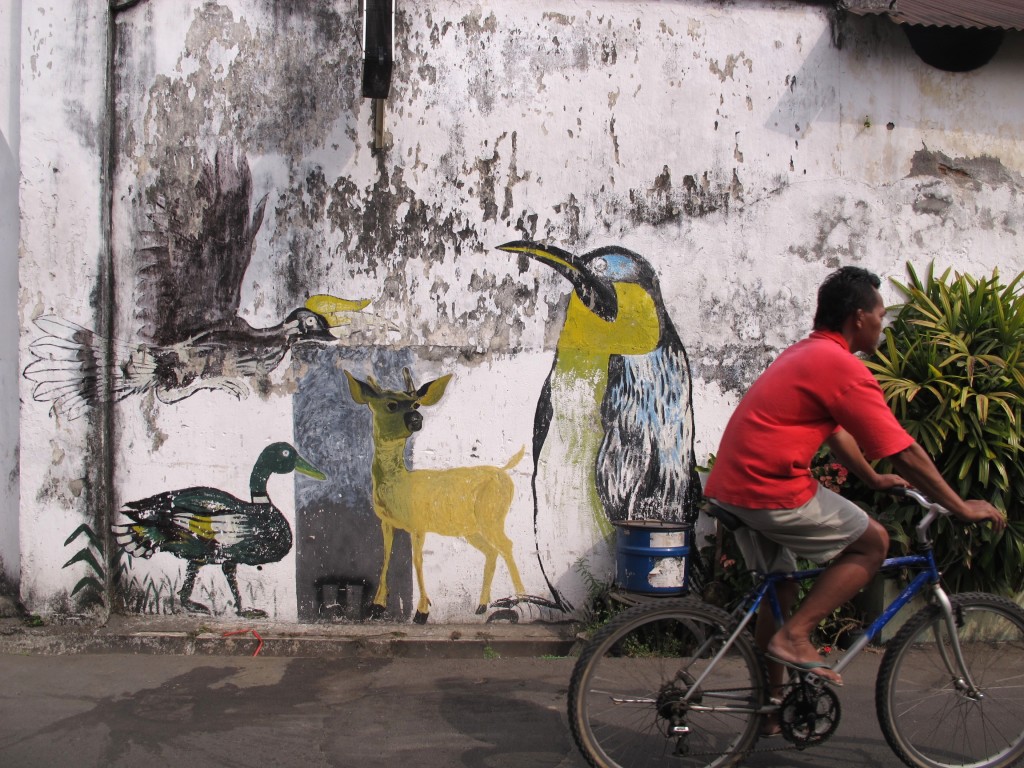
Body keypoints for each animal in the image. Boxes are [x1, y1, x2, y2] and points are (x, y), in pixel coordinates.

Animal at [348, 368, 528, 626]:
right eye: (391, 404)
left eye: (416, 403)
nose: (416, 419)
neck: (398, 484)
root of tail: (504, 471)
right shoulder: (386, 522)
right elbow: (385, 557)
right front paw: (377, 606)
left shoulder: (418, 523)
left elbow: (417, 561)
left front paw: (422, 611)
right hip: (471, 527)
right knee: (492, 551)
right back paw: (482, 606)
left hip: (492, 515)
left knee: (507, 545)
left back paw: (523, 599)